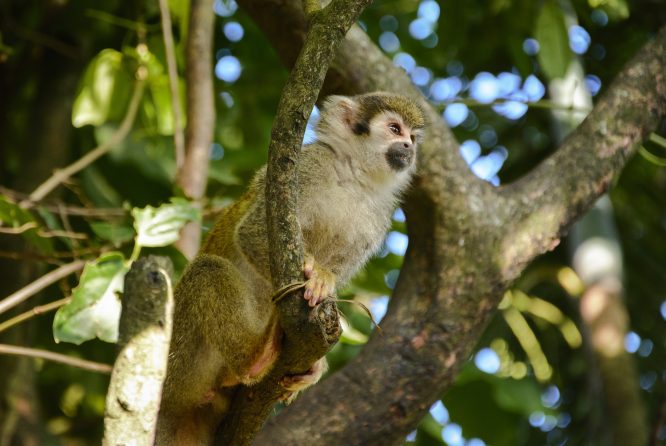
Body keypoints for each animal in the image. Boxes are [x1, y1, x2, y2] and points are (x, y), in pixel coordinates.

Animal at [156, 92, 426, 444]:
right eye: (395, 129)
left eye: (413, 137)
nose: (408, 147)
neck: (355, 176)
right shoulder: (307, 167)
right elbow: (252, 233)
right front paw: (313, 279)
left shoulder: (380, 216)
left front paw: (324, 285)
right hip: (177, 363)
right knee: (207, 269)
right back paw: (254, 358)